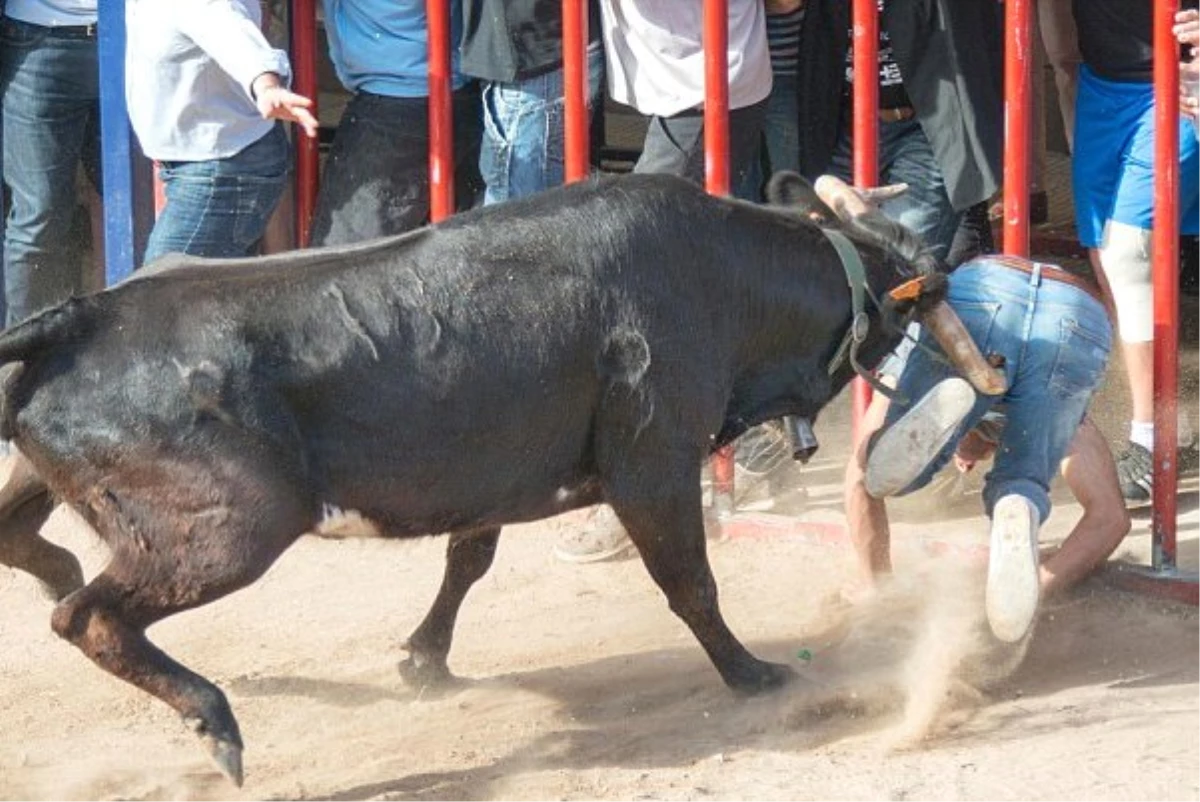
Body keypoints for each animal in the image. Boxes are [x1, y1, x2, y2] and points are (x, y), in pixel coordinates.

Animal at [0, 170, 945, 782]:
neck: (721, 276)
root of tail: (88, 311)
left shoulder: (494, 475)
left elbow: (469, 559)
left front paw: (423, 659)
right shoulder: (653, 463)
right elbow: (690, 583)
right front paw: (753, 675)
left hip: (66, 482)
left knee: (26, 539)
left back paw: (70, 576)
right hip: (234, 526)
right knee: (85, 617)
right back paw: (215, 722)